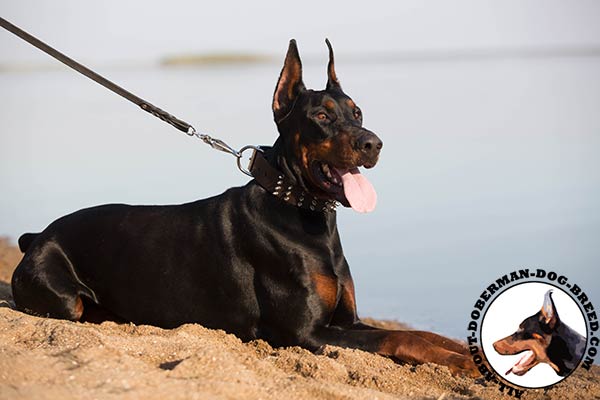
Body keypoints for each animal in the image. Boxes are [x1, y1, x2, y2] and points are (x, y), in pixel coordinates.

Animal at [10, 39, 478, 376]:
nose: (374, 143)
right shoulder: (306, 333)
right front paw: (464, 364)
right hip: (61, 294)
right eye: (322, 116)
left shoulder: (346, 321)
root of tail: (38, 235)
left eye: (358, 111)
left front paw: (467, 354)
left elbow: (420, 333)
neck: (301, 210)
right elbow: (401, 338)